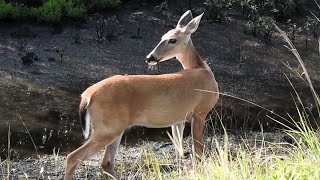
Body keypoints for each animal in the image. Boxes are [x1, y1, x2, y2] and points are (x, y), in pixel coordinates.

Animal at [65, 10, 220, 180]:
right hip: (107, 128)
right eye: (162, 37)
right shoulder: (200, 111)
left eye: (172, 39)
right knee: (72, 157)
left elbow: (179, 152)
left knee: (106, 163)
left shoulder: (177, 119)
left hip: (113, 128)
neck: (201, 69)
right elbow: (197, 150)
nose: (150, 57)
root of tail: (87, 96)